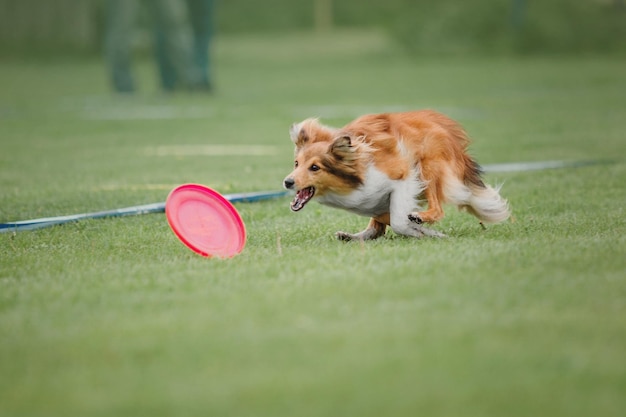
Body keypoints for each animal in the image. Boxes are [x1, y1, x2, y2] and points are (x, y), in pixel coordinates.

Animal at [282, 110, 508, 240]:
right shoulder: (373, 202)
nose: (287, 182)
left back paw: (421, 217)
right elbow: (389, 222)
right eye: (296, 163)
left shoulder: (403, 177)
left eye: (314, 167)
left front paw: (427, 232)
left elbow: (400, 222)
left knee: (437, 208)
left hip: (428, 166)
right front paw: (425, 232)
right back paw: (352, 236)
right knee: (376, 228)